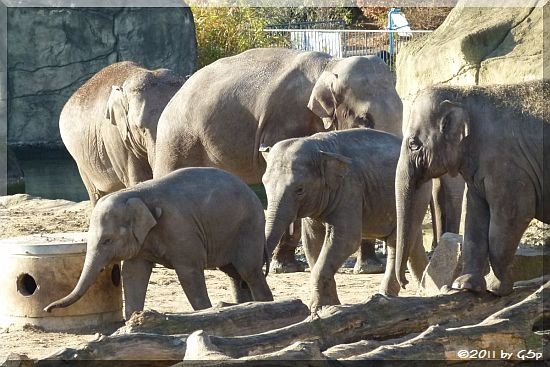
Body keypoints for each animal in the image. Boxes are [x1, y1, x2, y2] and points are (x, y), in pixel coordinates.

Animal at [44, 167, 274, 320]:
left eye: (107, 240)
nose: (47, 309)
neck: (135, 193)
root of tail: (254, 194)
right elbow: (133, 273)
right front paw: (132, 322)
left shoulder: (180, 228)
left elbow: (189, 273)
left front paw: (205, 313)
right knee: (234, 272)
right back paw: (244, 307)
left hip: (248, 227)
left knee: (248, 270)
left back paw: (264, 304)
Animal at [155, 48, 406, 274]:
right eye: (364, 119)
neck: (329, 66)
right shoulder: (284, 121)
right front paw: (284, 268)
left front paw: (370, 268)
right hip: (178, 135)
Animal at [260, 129, 434, 310]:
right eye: (264, 184)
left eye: (299, 189)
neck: (320, 147)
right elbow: (312, 242)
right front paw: (330, 304)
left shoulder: (350, 188)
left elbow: (347, 239)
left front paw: (317, 309)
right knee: (411, 241)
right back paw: (426, 291)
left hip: (418, 194)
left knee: (396, 241)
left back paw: (388, 295)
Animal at [394, 80, 548, 296]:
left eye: (413, 144)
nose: (404, 282)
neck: (464, 95)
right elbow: (474, 219)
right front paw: (466, 285)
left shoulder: (508, 167)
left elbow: (513, 215)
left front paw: (496, 287)